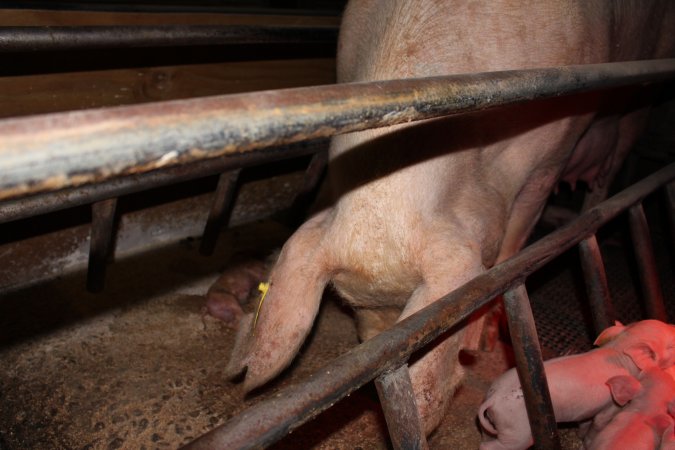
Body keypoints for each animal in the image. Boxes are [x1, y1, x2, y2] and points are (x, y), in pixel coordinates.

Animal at [478, 320, 675, 450]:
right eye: (671, 346)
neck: (620, 350)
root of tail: (494, 399)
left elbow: (584, 422)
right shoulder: (610, 404)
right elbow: (600, 422)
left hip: (499, 422)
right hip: (518, 431)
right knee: (491, 447)